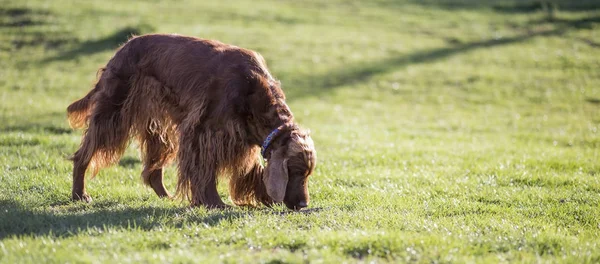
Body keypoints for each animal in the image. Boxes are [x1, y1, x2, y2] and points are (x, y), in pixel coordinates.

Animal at [67, 33, 316, 210]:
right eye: (295, 171)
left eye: (307, 173)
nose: (303, 204)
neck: (253, 89)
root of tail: (124, 47)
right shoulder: (204, 132)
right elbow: (206, 172)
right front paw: (214, 202)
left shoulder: (242, 140)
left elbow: (252, 170)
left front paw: (263, 196)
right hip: (113, 113)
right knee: (83, 154)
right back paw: (80, 194)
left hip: (158, 126)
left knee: (153, 170)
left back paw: (165, 196)